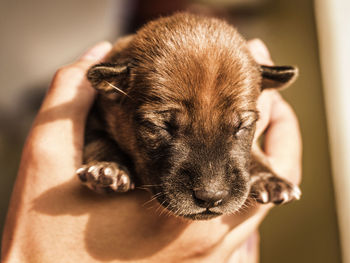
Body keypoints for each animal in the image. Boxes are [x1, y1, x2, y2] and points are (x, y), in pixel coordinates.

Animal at [76, 13, 300, 222]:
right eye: (163, 126)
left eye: (242, 127)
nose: (211, 197)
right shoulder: (96, 114)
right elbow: (99, 139)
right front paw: (108, 169)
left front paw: (268, 178)